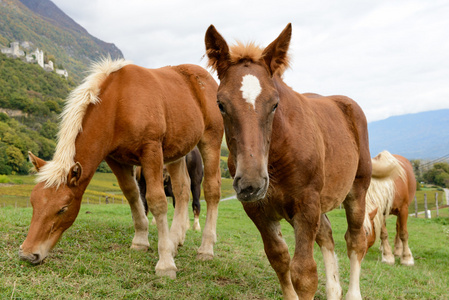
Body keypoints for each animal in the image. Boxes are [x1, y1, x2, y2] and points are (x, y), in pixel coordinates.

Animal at [18, 58, 222, 278]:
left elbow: (157, 201)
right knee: (182, 191)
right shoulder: (116, 159)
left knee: (211, 190)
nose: (28, 254)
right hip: (177, 152)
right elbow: (132, 195)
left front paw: (165, 263)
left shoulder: (151, 150)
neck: (119, 103)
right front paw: (141, 241)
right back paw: (175, 241)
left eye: (62, 209)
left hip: (210, 141)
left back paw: (206, 249)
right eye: (33, 202)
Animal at [205, 24, 370, 300]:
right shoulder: (258, 210)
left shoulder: (306, 205)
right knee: (327, 234)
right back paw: (333, 289)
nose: (251, 183)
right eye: (221, 104)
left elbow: (304, 274)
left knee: (356, 240)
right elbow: (279, 258)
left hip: (357, 191)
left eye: (274, 104)